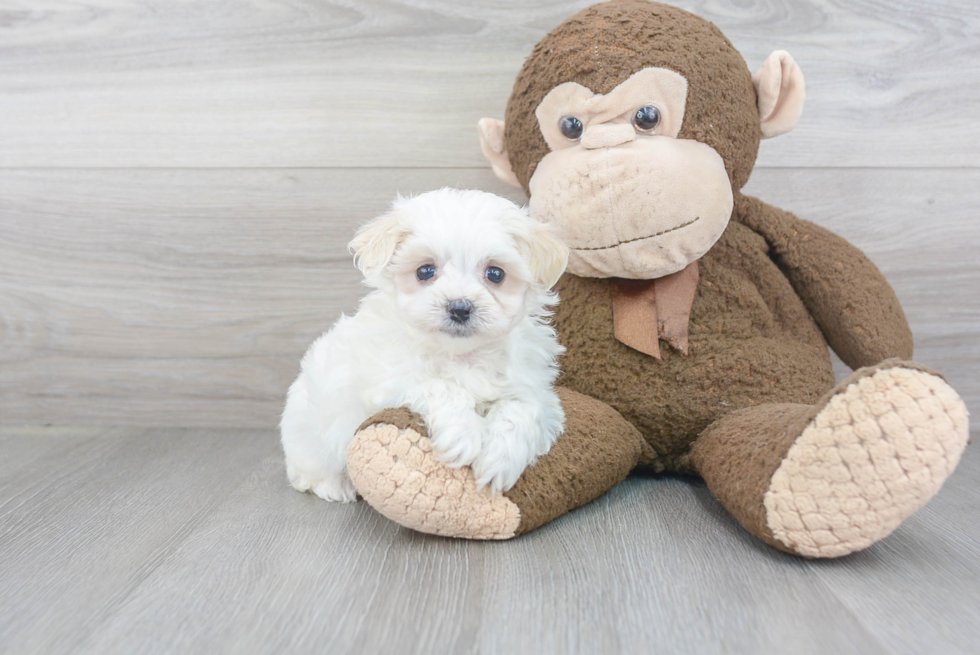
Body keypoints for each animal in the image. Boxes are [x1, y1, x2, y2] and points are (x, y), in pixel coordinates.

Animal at [280, 188, 572, 502]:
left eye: (495, 274)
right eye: (425, 271)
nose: (459, 307)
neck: (462, 356)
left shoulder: (535, 391)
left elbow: (521, 410)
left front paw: (500, 458)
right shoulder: (391, 378)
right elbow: (442, 387)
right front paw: (464, 435)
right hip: (309, 437)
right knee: (308, 472)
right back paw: (335, 486)